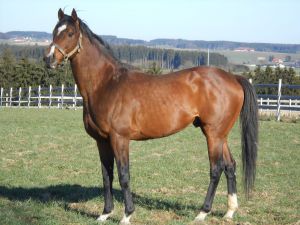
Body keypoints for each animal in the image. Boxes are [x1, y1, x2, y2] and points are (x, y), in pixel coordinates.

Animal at [44, 8, 258, 223]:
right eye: (54, 31)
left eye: (70, 33)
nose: (48, 59)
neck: (106, 84)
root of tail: (233, 78)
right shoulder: (101, 141)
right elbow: (107, 175)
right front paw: (105, 213)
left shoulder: (119, 139)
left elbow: (123, 175)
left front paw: (127, 215)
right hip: (220, 135)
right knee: (230, 166)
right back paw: (229, 212)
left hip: (213, 134)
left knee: (216, 169)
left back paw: (202, 213)